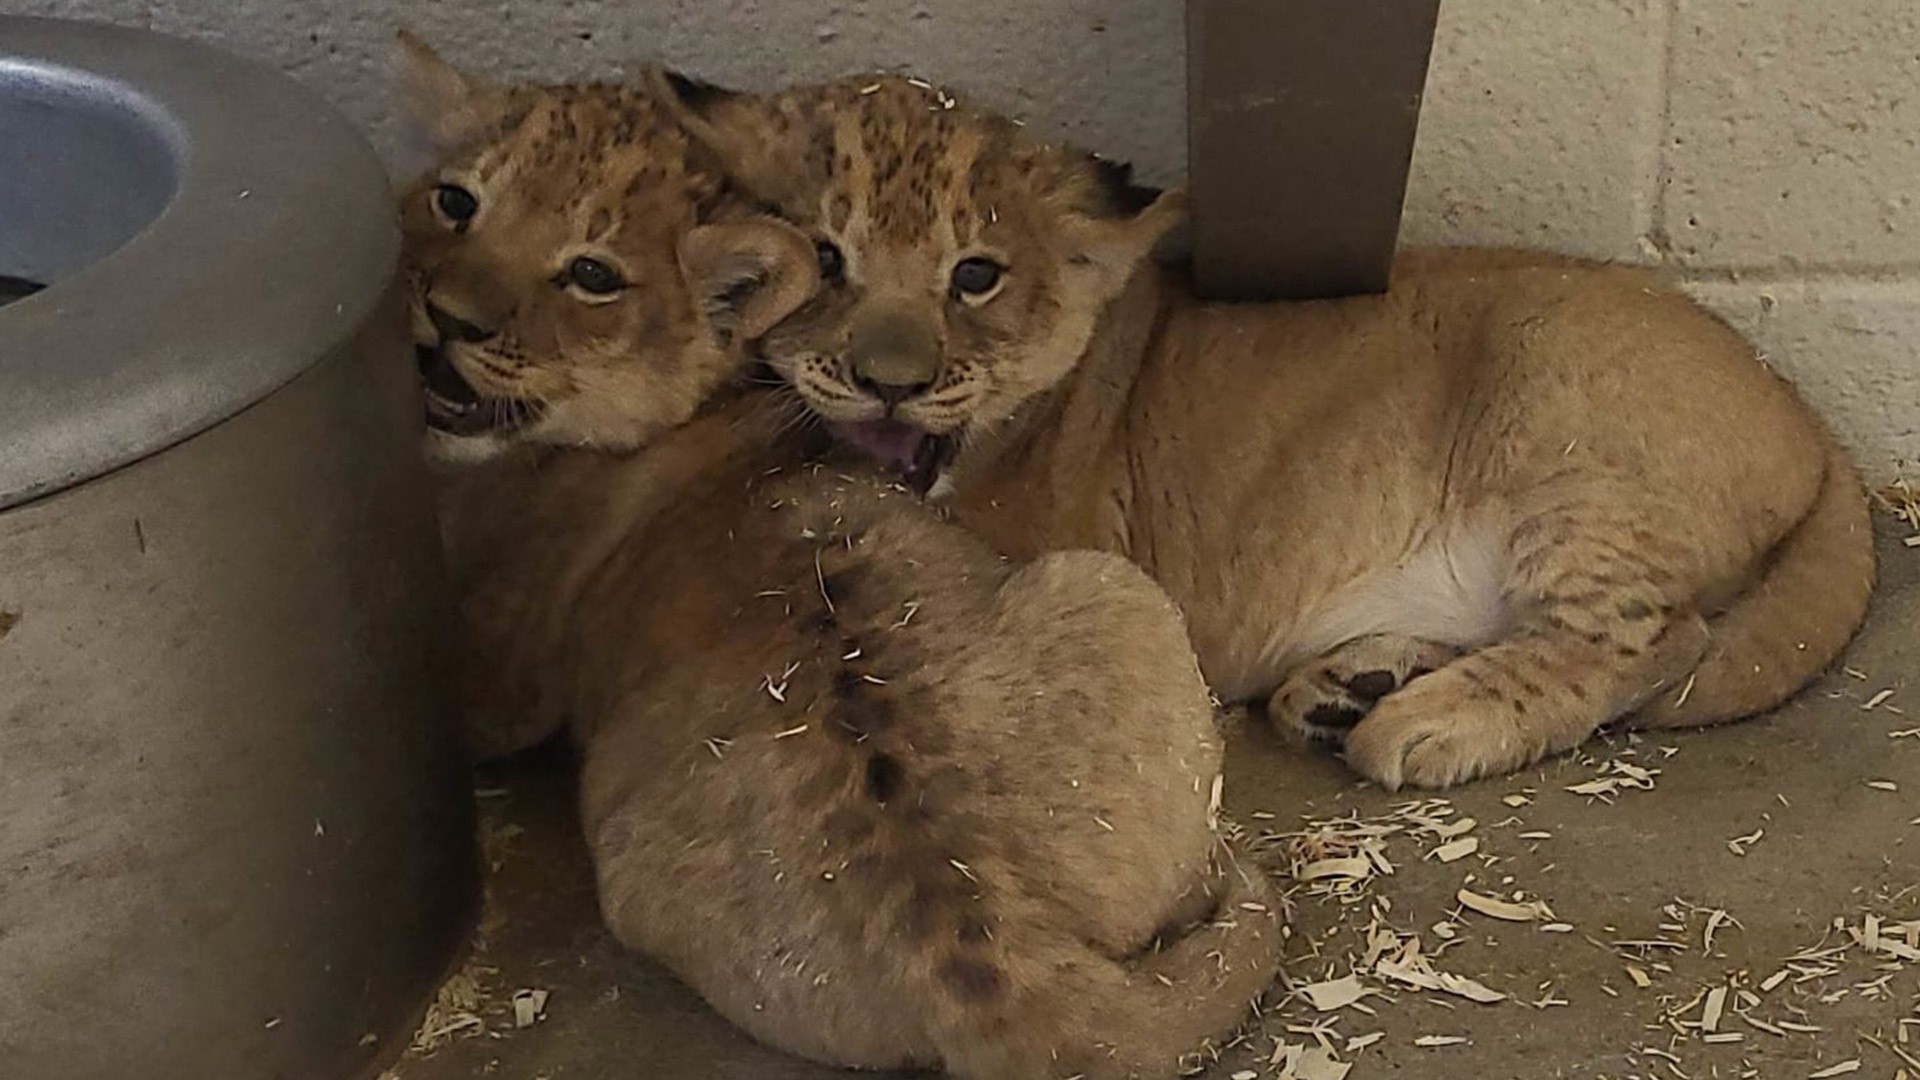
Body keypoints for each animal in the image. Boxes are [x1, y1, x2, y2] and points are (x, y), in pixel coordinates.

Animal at [655, 73, 1878, 790]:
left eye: (976, 276)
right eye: (826, 257)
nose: (890, 385)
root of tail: (1814, 421)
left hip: (1569, 444)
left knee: (1656, 639)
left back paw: (1418, 725)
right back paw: (1350, 688)